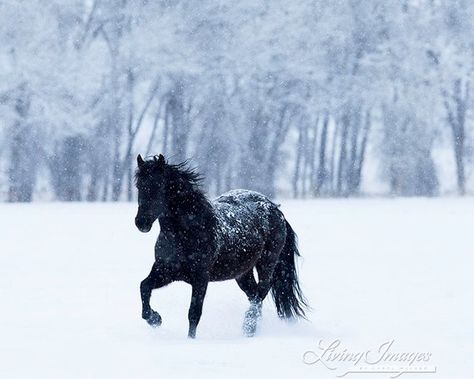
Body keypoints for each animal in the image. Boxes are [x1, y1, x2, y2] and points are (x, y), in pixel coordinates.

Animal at [135, 154, 310, 338]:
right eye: (139, 185)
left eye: (159, 185)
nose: (141, 223)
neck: (188, 232)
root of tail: (275, 209)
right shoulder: (165, 271)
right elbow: (144, 286)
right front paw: (155, 319)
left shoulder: (200, 278)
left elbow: (194, 313)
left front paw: (190, 339)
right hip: (242, 273)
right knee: (254, 294)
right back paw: (251, 329)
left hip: (267, 263)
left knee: (262, 291)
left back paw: (248, 327)